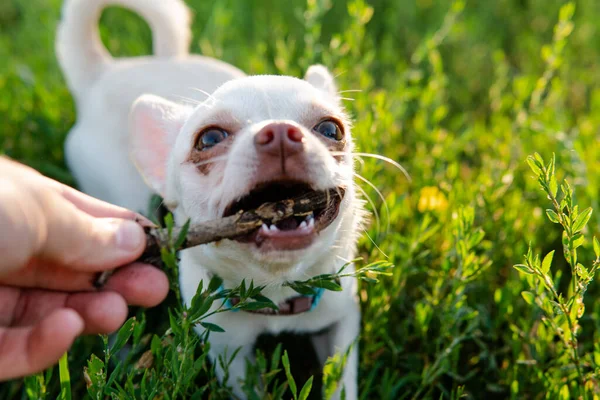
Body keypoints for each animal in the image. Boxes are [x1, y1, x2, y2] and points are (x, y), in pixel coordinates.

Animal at [58, 0, 364, 396]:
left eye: (331, 129)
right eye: (209, 139)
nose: (280, 132)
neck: (275, 291)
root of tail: (103, 72)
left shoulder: (341, 320)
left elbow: (342, 381)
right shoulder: (228, 351)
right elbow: (248, 389)